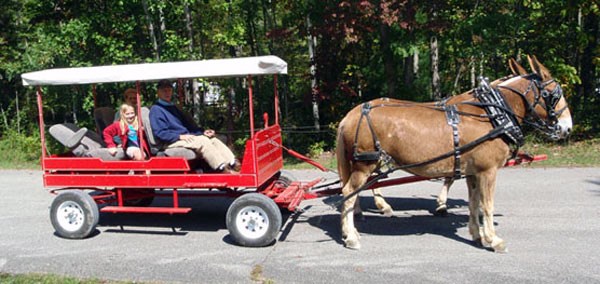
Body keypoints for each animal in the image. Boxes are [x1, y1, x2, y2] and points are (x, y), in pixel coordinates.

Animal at [338, 56, 572, 253]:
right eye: (555, 94)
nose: (567, 127)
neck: (493, 114)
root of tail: (351, 115)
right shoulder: (488, 170)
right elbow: (487, 205)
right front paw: (494, 240)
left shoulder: (473, 171)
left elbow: (474, 202)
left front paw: (477, 235)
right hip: (366, 164)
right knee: (349, 191)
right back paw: (352, 236)